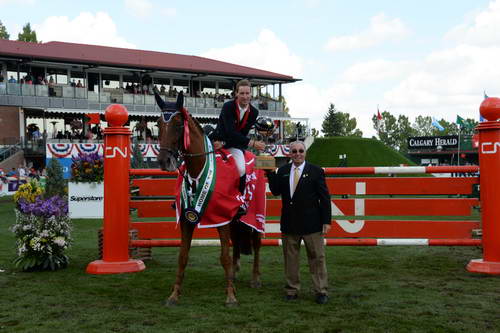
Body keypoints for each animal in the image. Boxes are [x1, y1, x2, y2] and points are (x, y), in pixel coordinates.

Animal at [158, 92, 264, 304]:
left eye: (178, 125)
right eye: (158, 124)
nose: (164, 161)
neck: (198, 171)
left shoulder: (222, 219)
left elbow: (224, 256)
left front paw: (230, 296)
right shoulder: (187, 220)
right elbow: (183, 256)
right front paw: (174, 295)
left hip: (256, 216)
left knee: (256, 244)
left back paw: (255, 279)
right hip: (235, 220)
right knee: (237, 242)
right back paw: (235, 273)